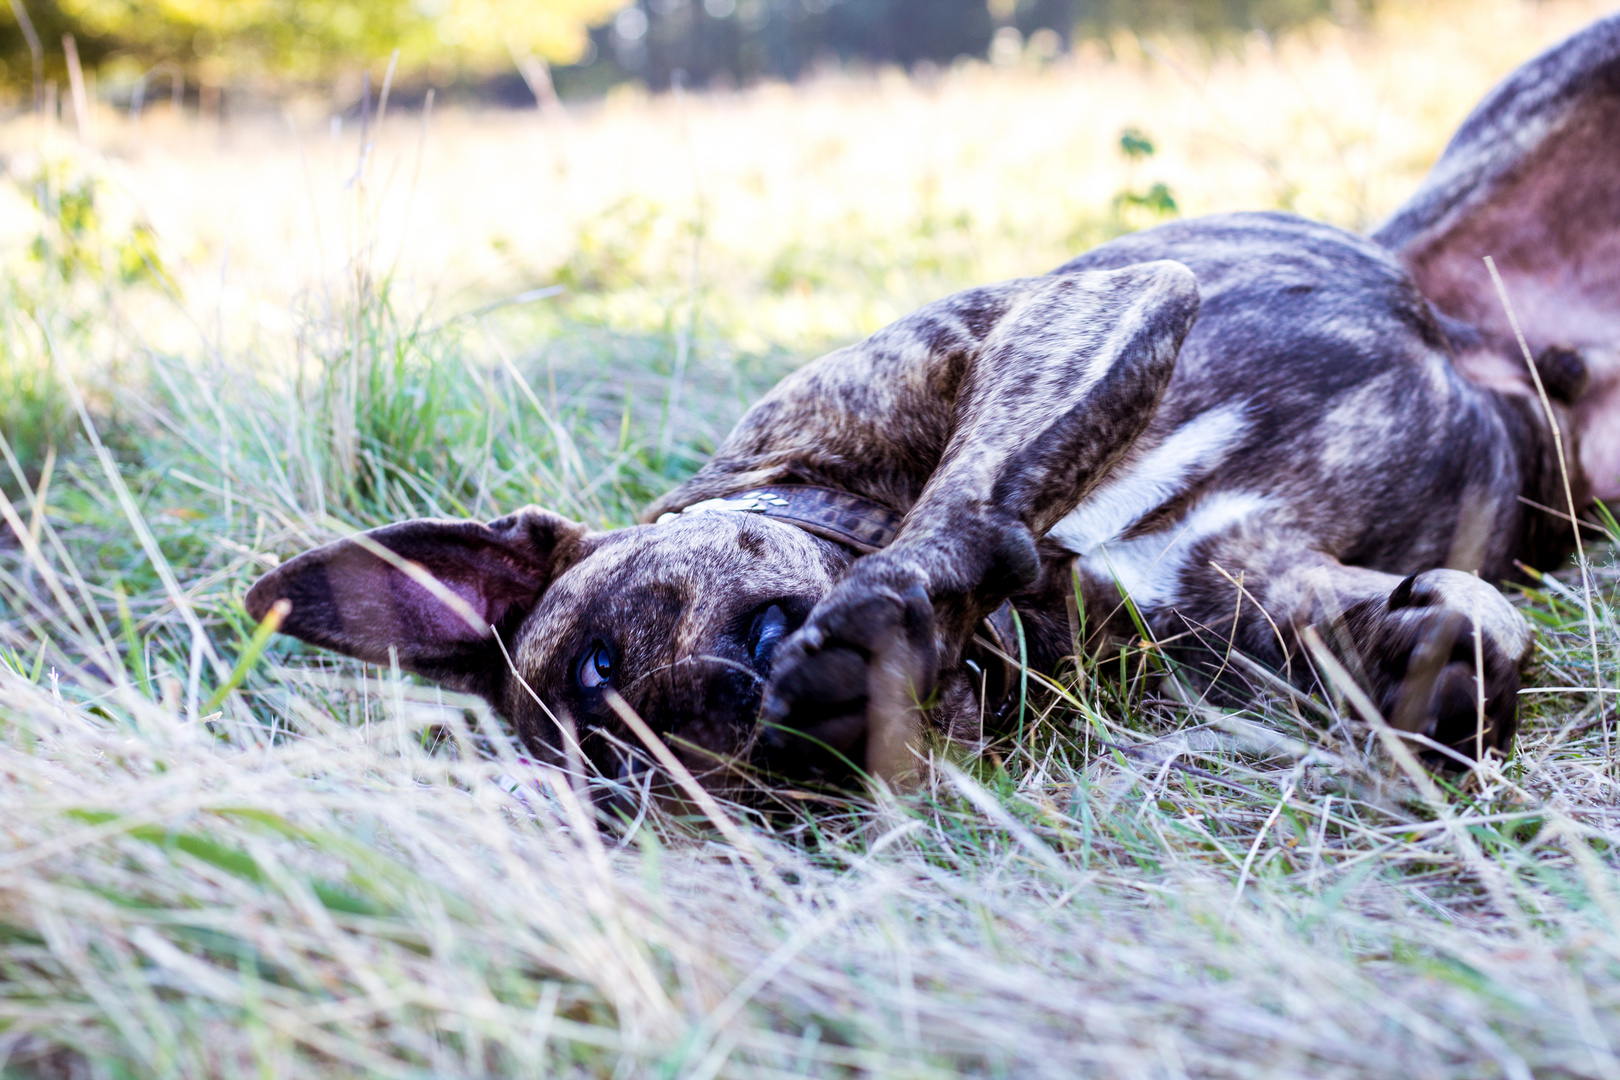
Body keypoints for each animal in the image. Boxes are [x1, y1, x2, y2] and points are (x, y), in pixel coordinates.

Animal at [243, 16, 1620, 790]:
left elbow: (969, 487)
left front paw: (890, 618)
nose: (771, 744)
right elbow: (1460, 643)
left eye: (600, 659)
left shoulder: (1059, 326)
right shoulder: (1260, 597)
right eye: (639, 793)